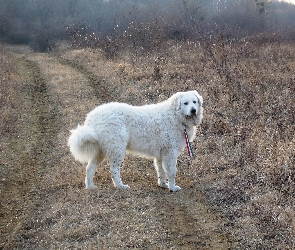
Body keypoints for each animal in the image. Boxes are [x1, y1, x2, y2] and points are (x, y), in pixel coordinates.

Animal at [69, 90, 204, 191]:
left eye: (194, 102)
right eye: (185, 103)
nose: (193, 110)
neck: (175, 116)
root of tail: (92, 117)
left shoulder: (161, 155)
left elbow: (161, 171)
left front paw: (163, 185)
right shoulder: (170, 153)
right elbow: (171, 172)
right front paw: (172, 187)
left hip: (101, 151)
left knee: (89, 168)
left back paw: (90, 187)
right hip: (117, 148)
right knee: (113, 169)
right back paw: (120, 186)